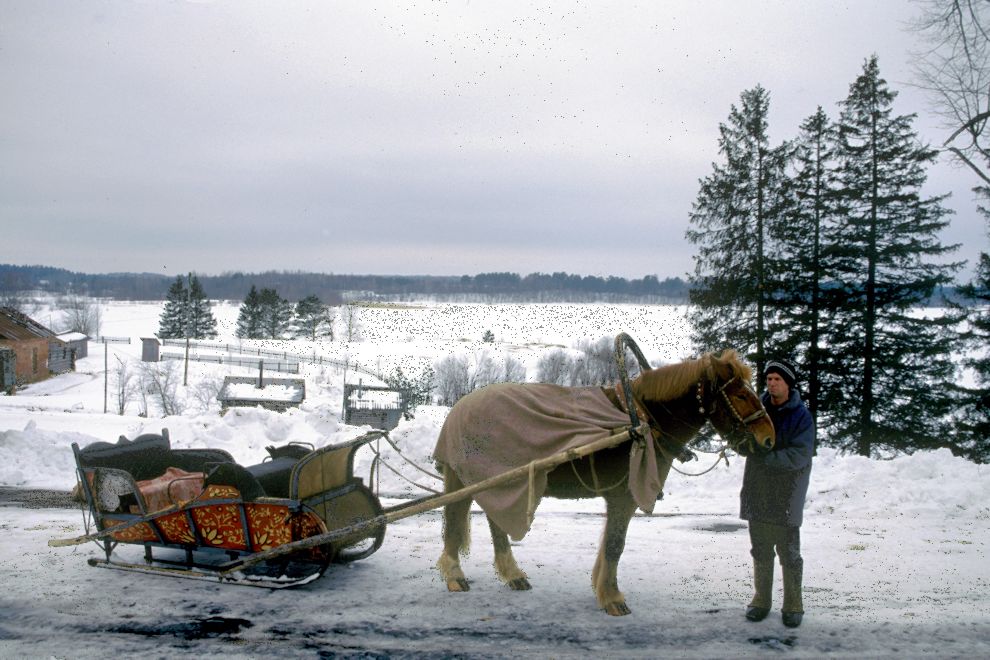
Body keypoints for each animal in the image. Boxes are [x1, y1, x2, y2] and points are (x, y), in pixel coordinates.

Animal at [434, 348, 776, 616]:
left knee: (495, 521)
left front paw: (602, 587)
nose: (768, 439)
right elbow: (615, 544)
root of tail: (460, 407)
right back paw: (455, 574)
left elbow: (611, 545)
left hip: (502, 480)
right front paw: (612, 597)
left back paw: (511, 574)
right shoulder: (623, 497)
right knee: (454, 518)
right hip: (465, 479)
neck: (642, 419)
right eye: (741, 394)